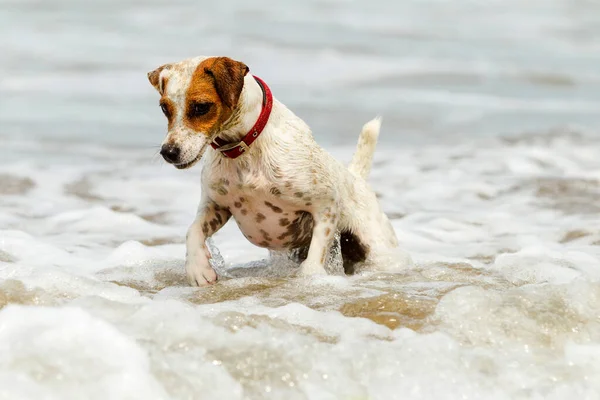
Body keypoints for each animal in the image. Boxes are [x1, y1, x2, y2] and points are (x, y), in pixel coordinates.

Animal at [147, 57, 408, 288]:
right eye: (164, 108)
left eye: (201, 107)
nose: (168, 152)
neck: (245, 149)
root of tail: (356, 177)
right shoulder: (217, 207)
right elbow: (192, 231)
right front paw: (197, 268)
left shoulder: (326, 206)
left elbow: (315, 256)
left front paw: (309, 279)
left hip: (378, 250)